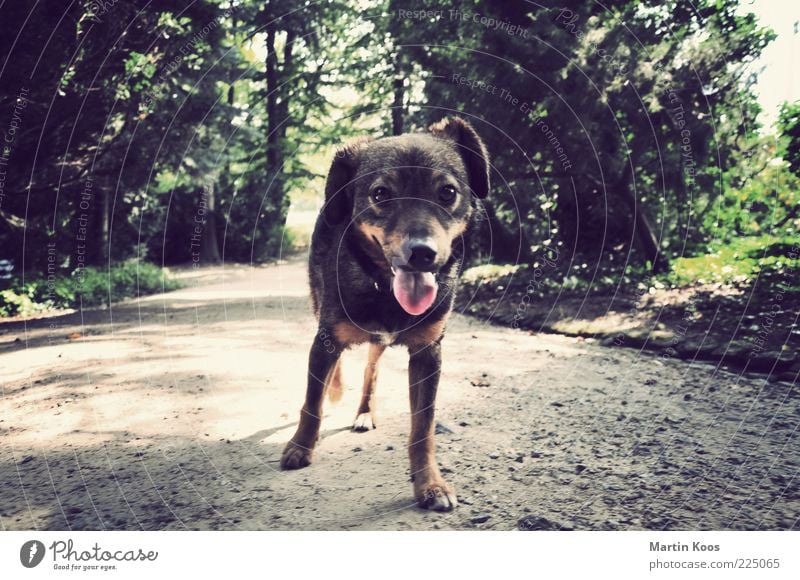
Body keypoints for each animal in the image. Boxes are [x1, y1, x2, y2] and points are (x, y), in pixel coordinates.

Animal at [282, 115, 494, 510]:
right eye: (380, 194)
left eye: (447, 192)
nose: (422, 253)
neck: (384, 288)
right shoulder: (326, 336)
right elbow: (312, 401)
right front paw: (300, 447)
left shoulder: (428, 353)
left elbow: (423, 427)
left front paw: (430, 484)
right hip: (320, 307)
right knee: (337, 368)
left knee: (371, 371)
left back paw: (365, 412)